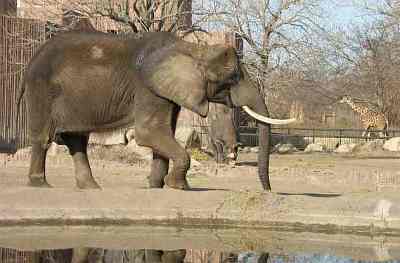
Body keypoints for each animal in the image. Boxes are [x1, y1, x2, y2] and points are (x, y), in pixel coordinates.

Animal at [18, 30, 294, 192]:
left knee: (77, 140)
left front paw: (155, 186)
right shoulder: (148, 87)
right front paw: (179, 187)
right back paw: (40, 184)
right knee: (44, 137)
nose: (268, 191)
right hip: (42, 88)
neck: (191, 49)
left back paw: (91, 187)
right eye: (233, 77)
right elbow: (149, 132)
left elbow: (164, 132)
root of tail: (33, 57)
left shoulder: (167, 91)